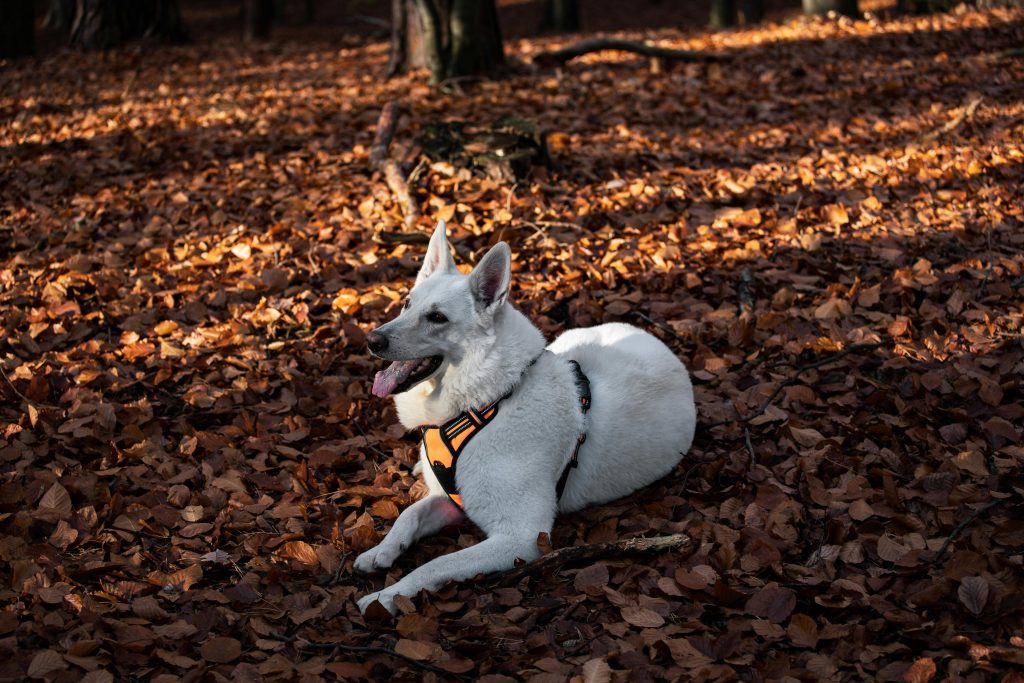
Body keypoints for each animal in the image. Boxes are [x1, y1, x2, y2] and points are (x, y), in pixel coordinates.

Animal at [354, 220, 696, 614]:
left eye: (438, 317)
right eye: (407, 304)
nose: (371, 339)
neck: (486, 402)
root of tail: (658, 342)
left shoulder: (520, 536)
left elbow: (435, 564)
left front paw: (386, 597)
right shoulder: (448, 501)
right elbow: (408, 515)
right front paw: (380, 551)